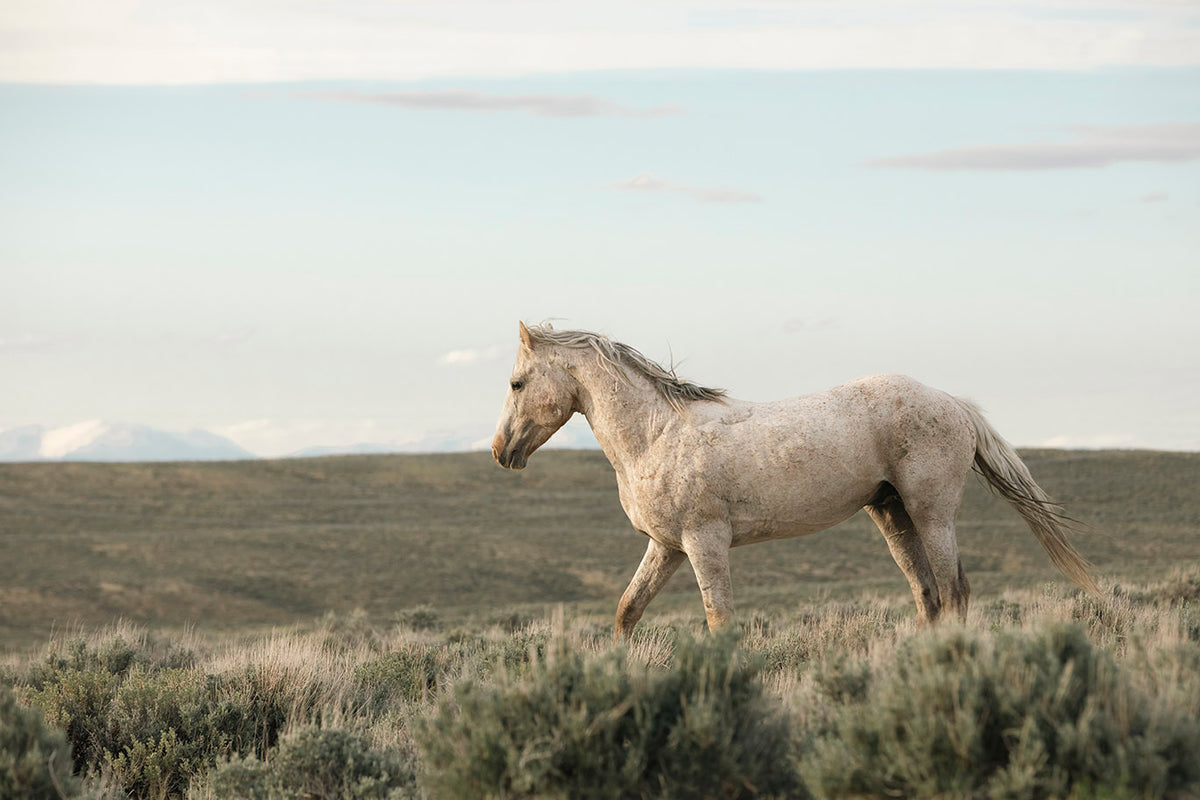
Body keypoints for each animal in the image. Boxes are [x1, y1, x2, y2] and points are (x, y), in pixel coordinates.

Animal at [489, 321, 1099, 642]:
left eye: (517, 383)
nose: (500, 452)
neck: (656, 434)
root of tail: (953, 403)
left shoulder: (704, 544)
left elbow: (719, 620)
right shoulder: (666, 547)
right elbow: (627, 611)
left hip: (931, 513)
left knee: (954, 592)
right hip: (892, 515)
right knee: (927, 595)